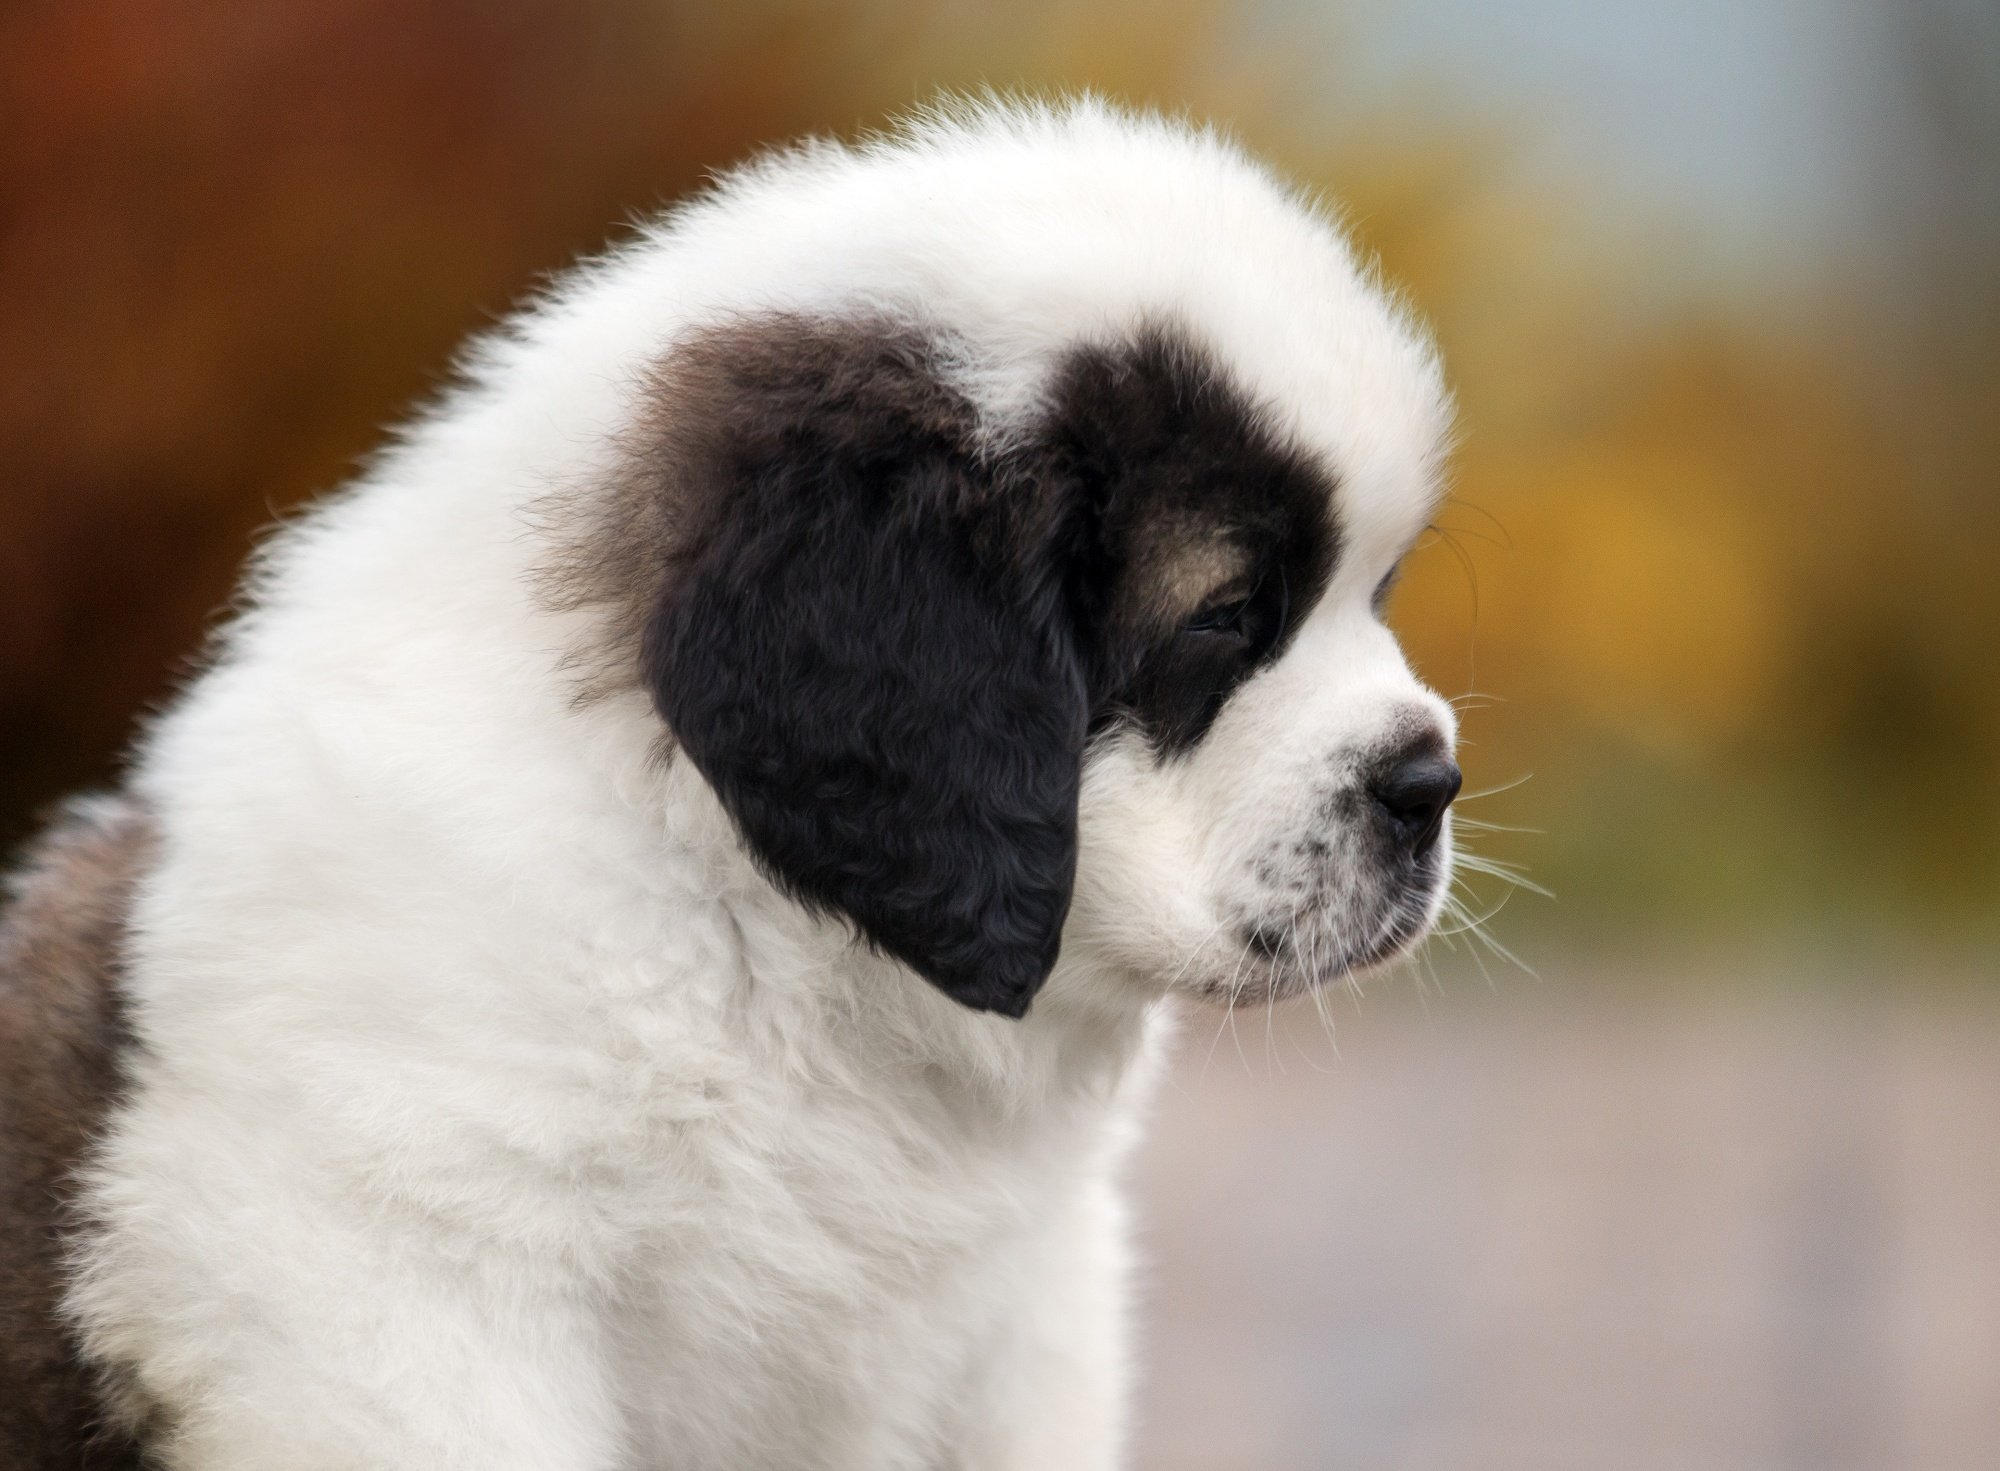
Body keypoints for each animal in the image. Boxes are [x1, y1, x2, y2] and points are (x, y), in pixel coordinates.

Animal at [0, 98, 1458, 1469]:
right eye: (1228, 615)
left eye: (1375, 592)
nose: (1428, 782)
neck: (764, 936)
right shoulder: (409, 1288)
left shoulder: (1022, 1321)